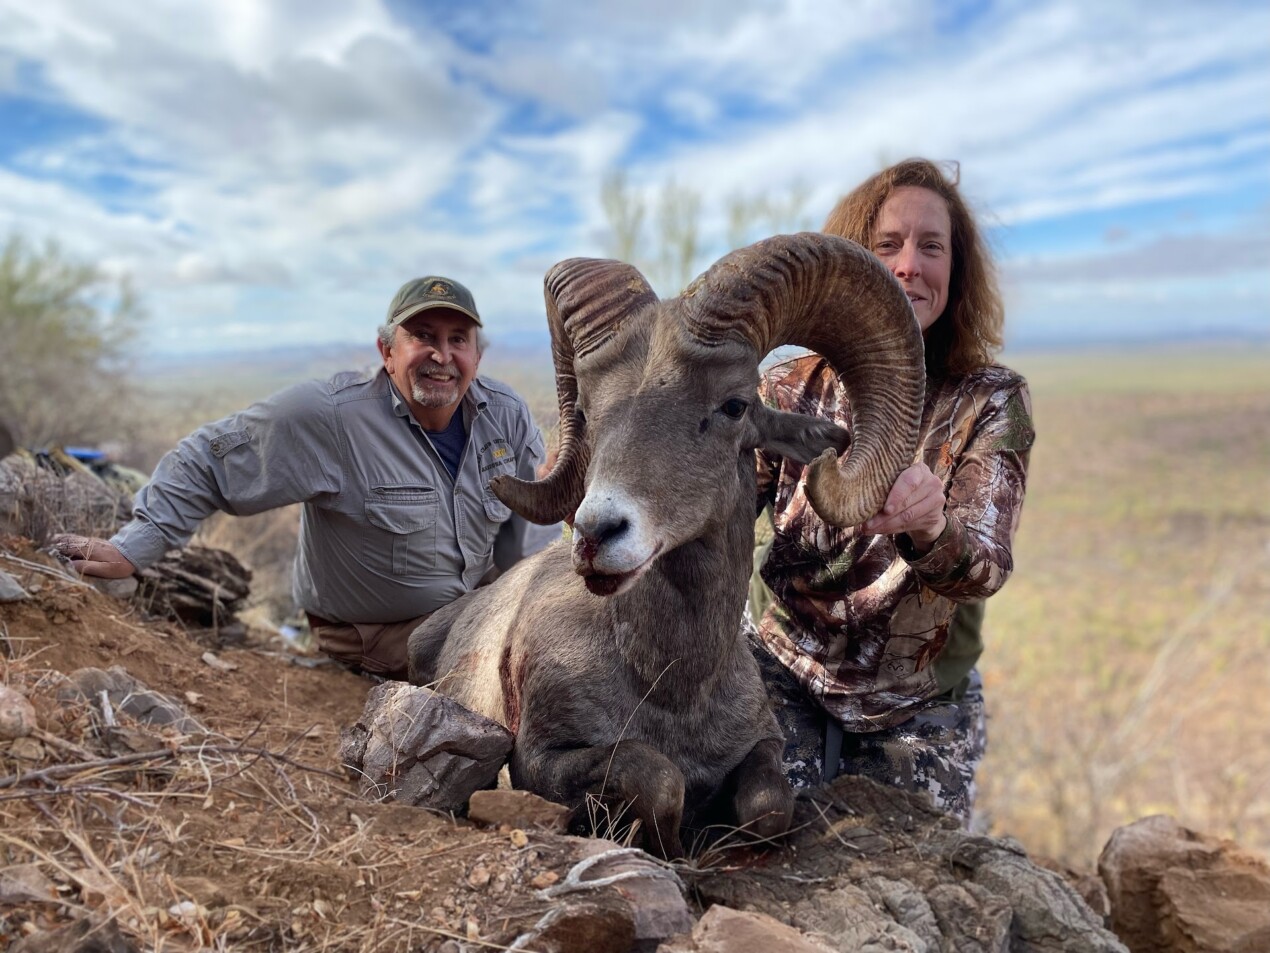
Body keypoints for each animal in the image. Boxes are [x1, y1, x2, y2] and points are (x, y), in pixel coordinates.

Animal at [408, 231, 924, 858]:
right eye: (587, 412)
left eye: (735, 405)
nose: (595, 534)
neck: (673, 689)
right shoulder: (542, 760)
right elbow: (659, 778)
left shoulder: (762, 749)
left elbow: (767, 803)